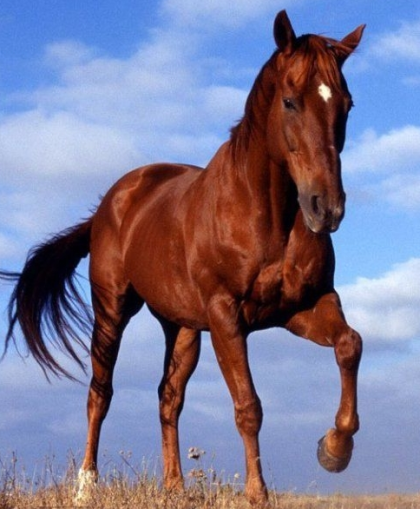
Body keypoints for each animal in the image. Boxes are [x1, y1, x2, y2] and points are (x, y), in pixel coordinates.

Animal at [0, 10, 365, 506]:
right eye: (290, 102)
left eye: (346, 105)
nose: (326, 208)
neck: (265, 214)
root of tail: (109, 204)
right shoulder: (228, 316)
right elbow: (248, 405)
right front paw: (257, 493)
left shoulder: (303, 306)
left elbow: (350, 345)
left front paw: (334, 449)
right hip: (112, 310)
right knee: (100, 392)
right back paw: (85, 486)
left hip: (183, 328)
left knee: (167, 396)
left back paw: (174, 487)